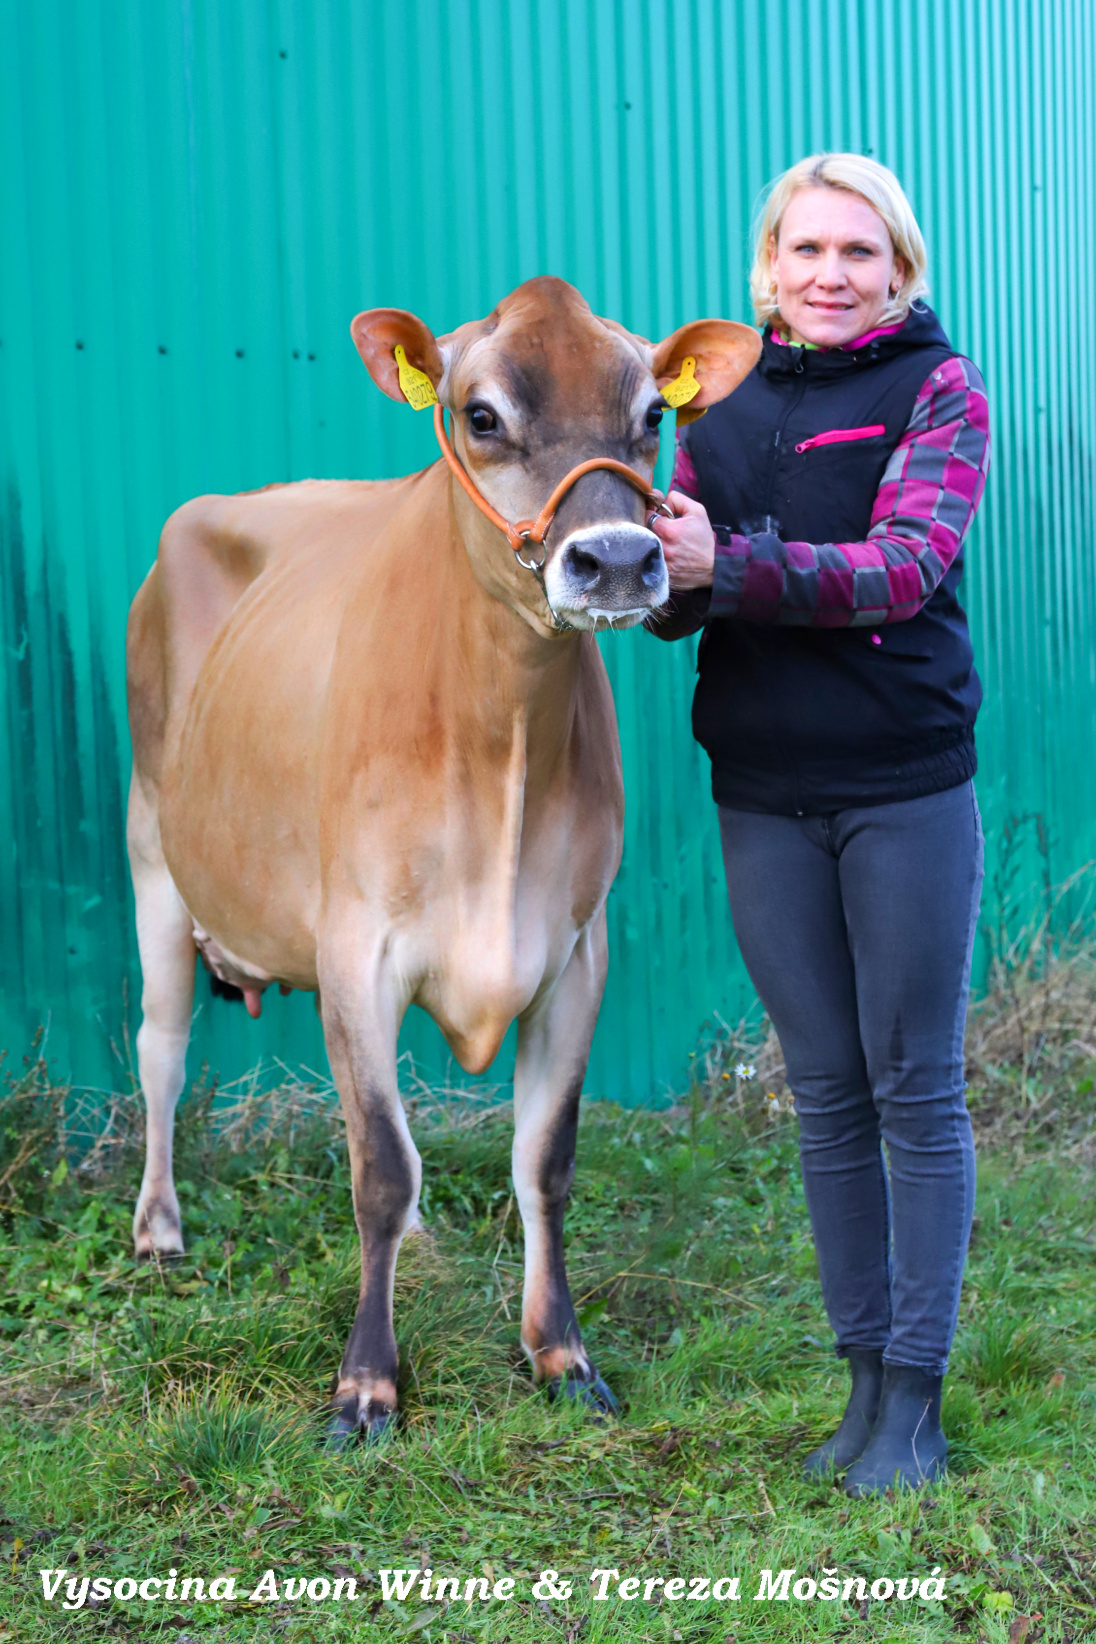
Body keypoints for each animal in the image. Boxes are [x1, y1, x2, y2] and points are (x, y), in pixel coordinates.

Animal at [125, 276, 760, 1440]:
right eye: (481, 415)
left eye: (654, 414)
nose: (614, 561)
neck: (498, 739)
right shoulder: (355, 947)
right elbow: (378, 1165)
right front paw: (365, 1384)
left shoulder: (577, 950)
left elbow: (542, 1162)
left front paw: (560, 1354)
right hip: (152, 849)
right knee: (161, 1047)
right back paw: (158, 1229)